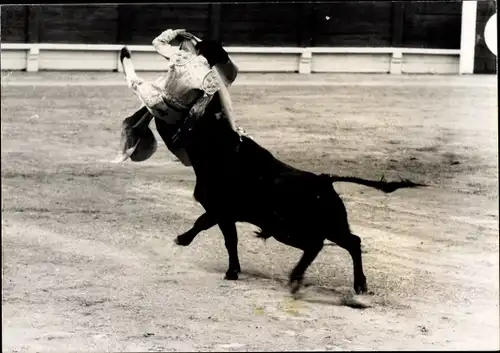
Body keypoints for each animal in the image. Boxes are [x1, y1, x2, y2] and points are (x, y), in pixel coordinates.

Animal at [124, 97, 422, 292]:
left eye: (183, 119)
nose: (150, 112)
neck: (221, 151)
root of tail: (324, 181)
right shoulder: (222, 212)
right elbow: (212, 229)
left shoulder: (221, 211)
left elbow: (218, 234)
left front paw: (221, 265)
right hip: (328, 226)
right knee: (351, 242)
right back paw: (356, 284)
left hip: (290, 229)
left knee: (320, 245)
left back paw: (300, 278)